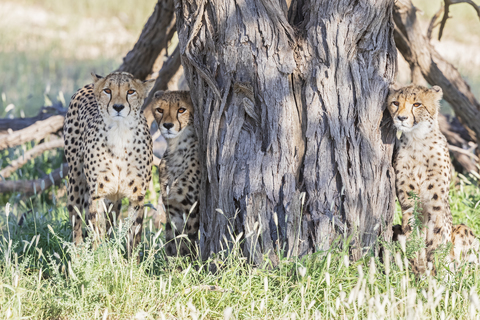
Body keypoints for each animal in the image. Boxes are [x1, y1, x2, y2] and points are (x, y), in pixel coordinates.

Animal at [63, 71, 154, 256]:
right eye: (107, 90)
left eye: (131, 91)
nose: (118, 107)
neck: (120, 133)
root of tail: (88, 85)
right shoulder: (97, 193)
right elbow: (95, 229)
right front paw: (99, 257)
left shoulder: (137, 196)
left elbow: (134, 234)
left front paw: (131, 261)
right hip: (75, 179)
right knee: (76, 219)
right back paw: (77, 253)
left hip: (114, 198)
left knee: (110, 220)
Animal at [152, 90, 201, 258]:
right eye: (160, 110)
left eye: (181, 110)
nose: (167, 125)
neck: (176, 149)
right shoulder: (172, 206)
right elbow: (173, 240)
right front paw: (174, 263)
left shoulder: (191, 207)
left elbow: (188, 239)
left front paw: (189, 262)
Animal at [388, 85, 452, 276]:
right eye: (395, 103)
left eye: (417, 104)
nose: (401, 118)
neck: (418, 142)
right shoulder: (408, 203)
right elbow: (412, 236)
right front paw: (418, 269)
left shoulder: (435, 205)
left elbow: (434, 240)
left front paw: (434, 274)